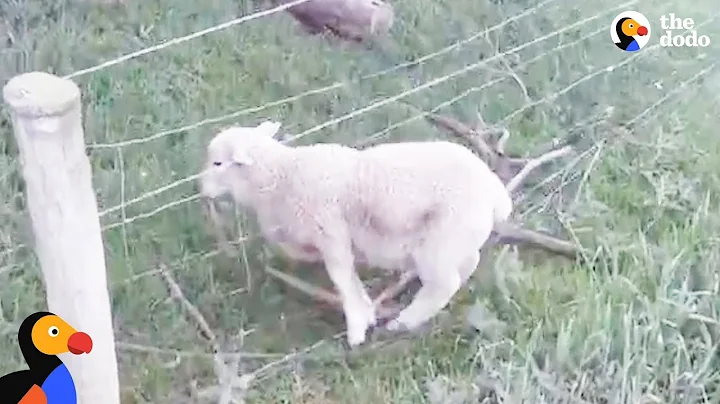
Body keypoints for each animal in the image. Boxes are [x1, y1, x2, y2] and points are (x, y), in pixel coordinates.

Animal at [198, 120, 512, 348]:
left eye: (218, 163)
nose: (201, 190)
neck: (280, 176)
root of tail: (496, 194)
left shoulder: (329, 230)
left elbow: (341, 275)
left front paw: (357, 325)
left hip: (439, 242)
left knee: (444, 284)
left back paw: (402, 323)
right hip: (457, 238)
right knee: (467, 265)